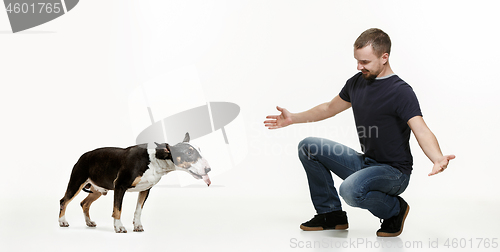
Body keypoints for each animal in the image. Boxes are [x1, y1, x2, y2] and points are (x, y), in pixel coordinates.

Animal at [59, 133, 211, 233]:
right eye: (189, 153)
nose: (208, 169)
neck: (155, 160)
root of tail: (82, 156)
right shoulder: (120, 186)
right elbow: (117, 209)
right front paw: (119, 227)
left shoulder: (145, 190)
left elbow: (138, 210)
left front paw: (137, 226)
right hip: (76, 182)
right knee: (64, 201)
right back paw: (62, 222)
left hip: (99, 189)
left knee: (84, 203)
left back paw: (89, 222)